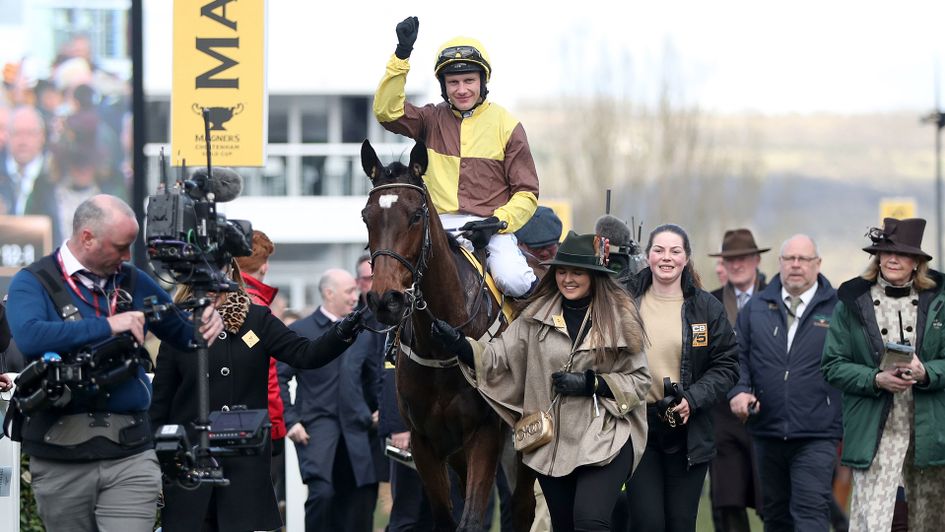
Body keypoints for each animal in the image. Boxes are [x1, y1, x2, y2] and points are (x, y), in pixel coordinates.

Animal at [360, 139, 536, 528]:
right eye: (366, 216)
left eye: (416, 215)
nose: (385, 299)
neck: (441, 347)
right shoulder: (425, 441)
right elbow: (444, 516)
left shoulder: (484, 433)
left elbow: (471, 520)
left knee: (523, 507)